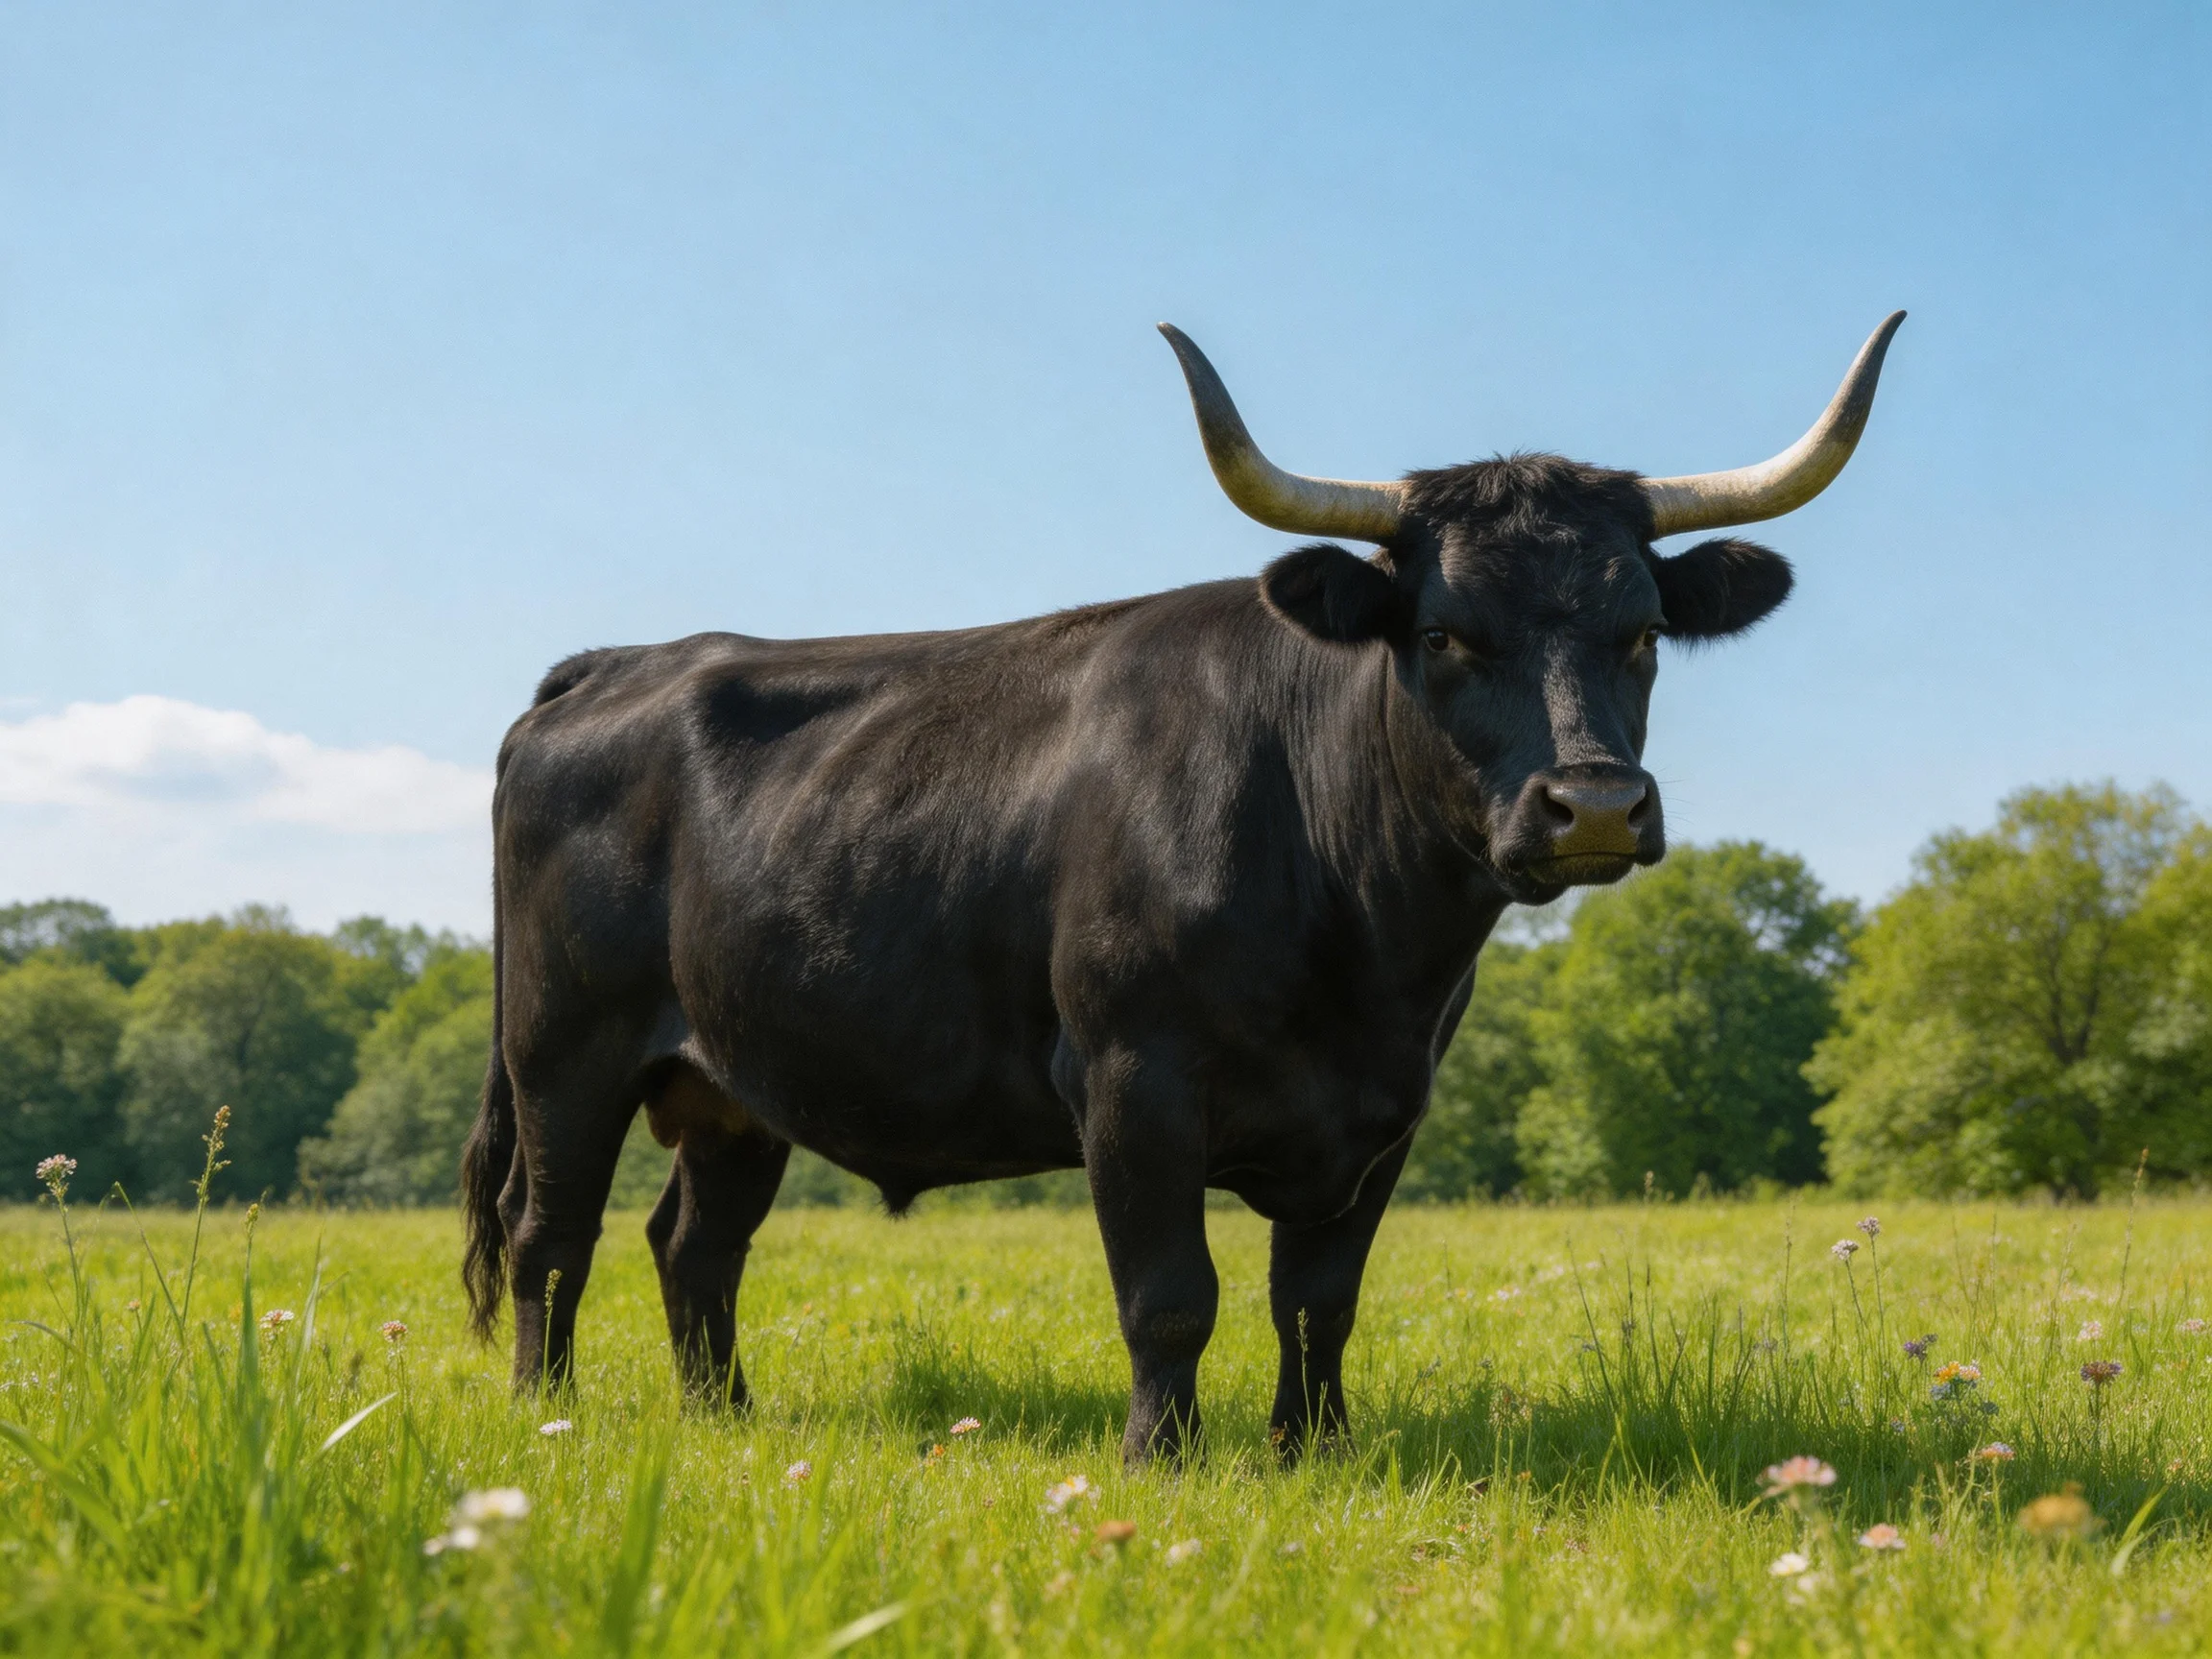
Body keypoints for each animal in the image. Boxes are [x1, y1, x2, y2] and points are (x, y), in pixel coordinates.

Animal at [460, 313, 1903, 1464]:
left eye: (1642, 631)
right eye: (1444, 633)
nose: (1593, 805)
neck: (1369, 953)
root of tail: (625, 661)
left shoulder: (1387, 1114)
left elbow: (1317, 1301)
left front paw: (1314, 1450)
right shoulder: (1131, 1079)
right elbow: (1171, 1293)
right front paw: (1166, 1456)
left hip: (732, 1080)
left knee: (693, 1244)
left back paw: (727, 1416)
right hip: (564, 1048)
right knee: (548, 1233)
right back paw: (549, 1412)